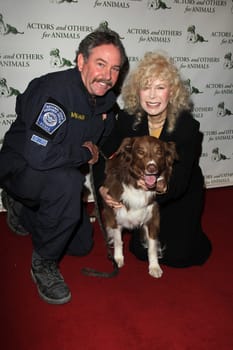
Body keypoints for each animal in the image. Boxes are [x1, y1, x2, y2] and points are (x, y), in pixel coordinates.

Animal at [101, 135, 177, 278]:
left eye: (159, 152)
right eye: (140, 152)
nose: (152, 168)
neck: (138, 187)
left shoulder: (153, 218)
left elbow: (152, 246)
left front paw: (154, 266)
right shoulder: (115, 215)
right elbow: (118, 240)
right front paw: (118, 259)